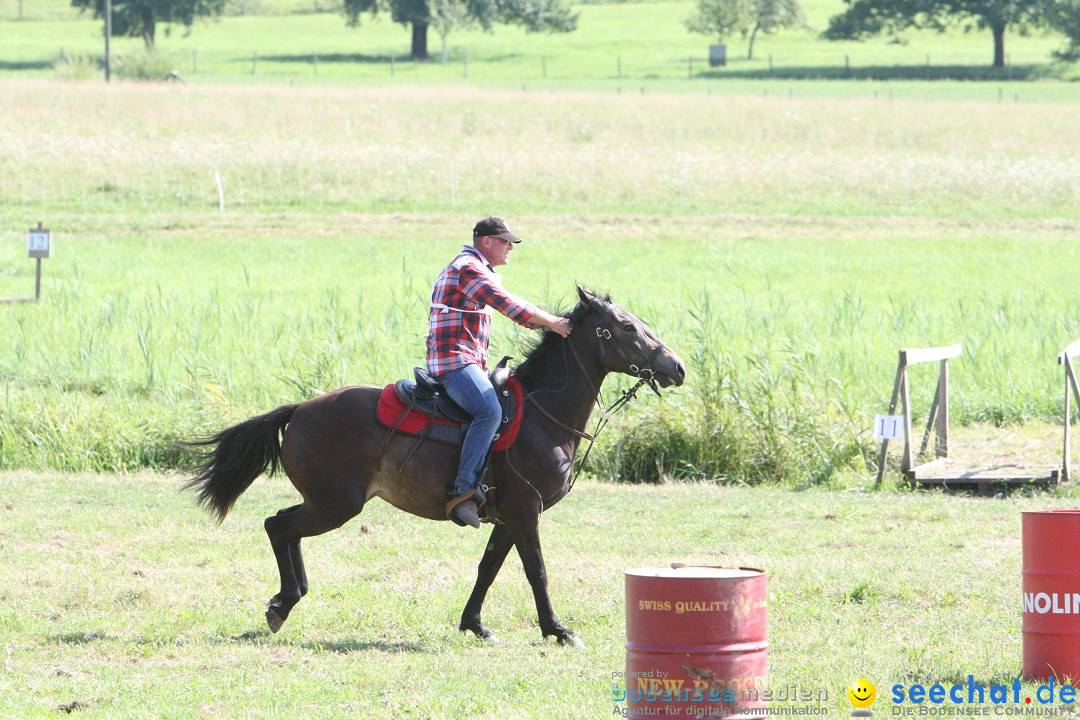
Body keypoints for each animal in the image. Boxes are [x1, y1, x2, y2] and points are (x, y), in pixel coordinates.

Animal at [183, 287, 682, 647]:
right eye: (624, 327)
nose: (675, 367)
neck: (542, 416)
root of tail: (300, 409)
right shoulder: (526, 511)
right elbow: (535, 571)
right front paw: (557, 630)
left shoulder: (509, 516)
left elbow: (488, 567)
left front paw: (474, 624)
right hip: (335, 504)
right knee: (278, 526)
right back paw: (284, 603)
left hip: (326, 503)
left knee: (283, 527)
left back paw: (287, 599)